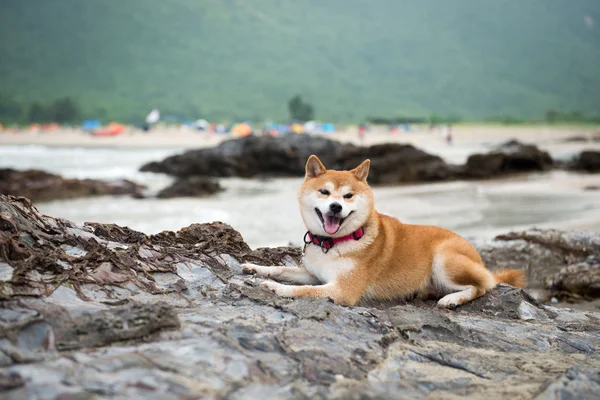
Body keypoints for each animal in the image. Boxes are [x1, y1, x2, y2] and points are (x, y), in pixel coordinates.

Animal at [241, 155, 524, 306]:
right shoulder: (313, 273)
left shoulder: (342, 290)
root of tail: (476, 253)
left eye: (348, 195)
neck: (334, 243)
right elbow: (282, 269)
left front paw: (274, 288)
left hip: (446, 260)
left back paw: (452, 299)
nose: (335, 206)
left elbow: (303, 291)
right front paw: (256, 268)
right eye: (324, 192)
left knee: (483, 286)